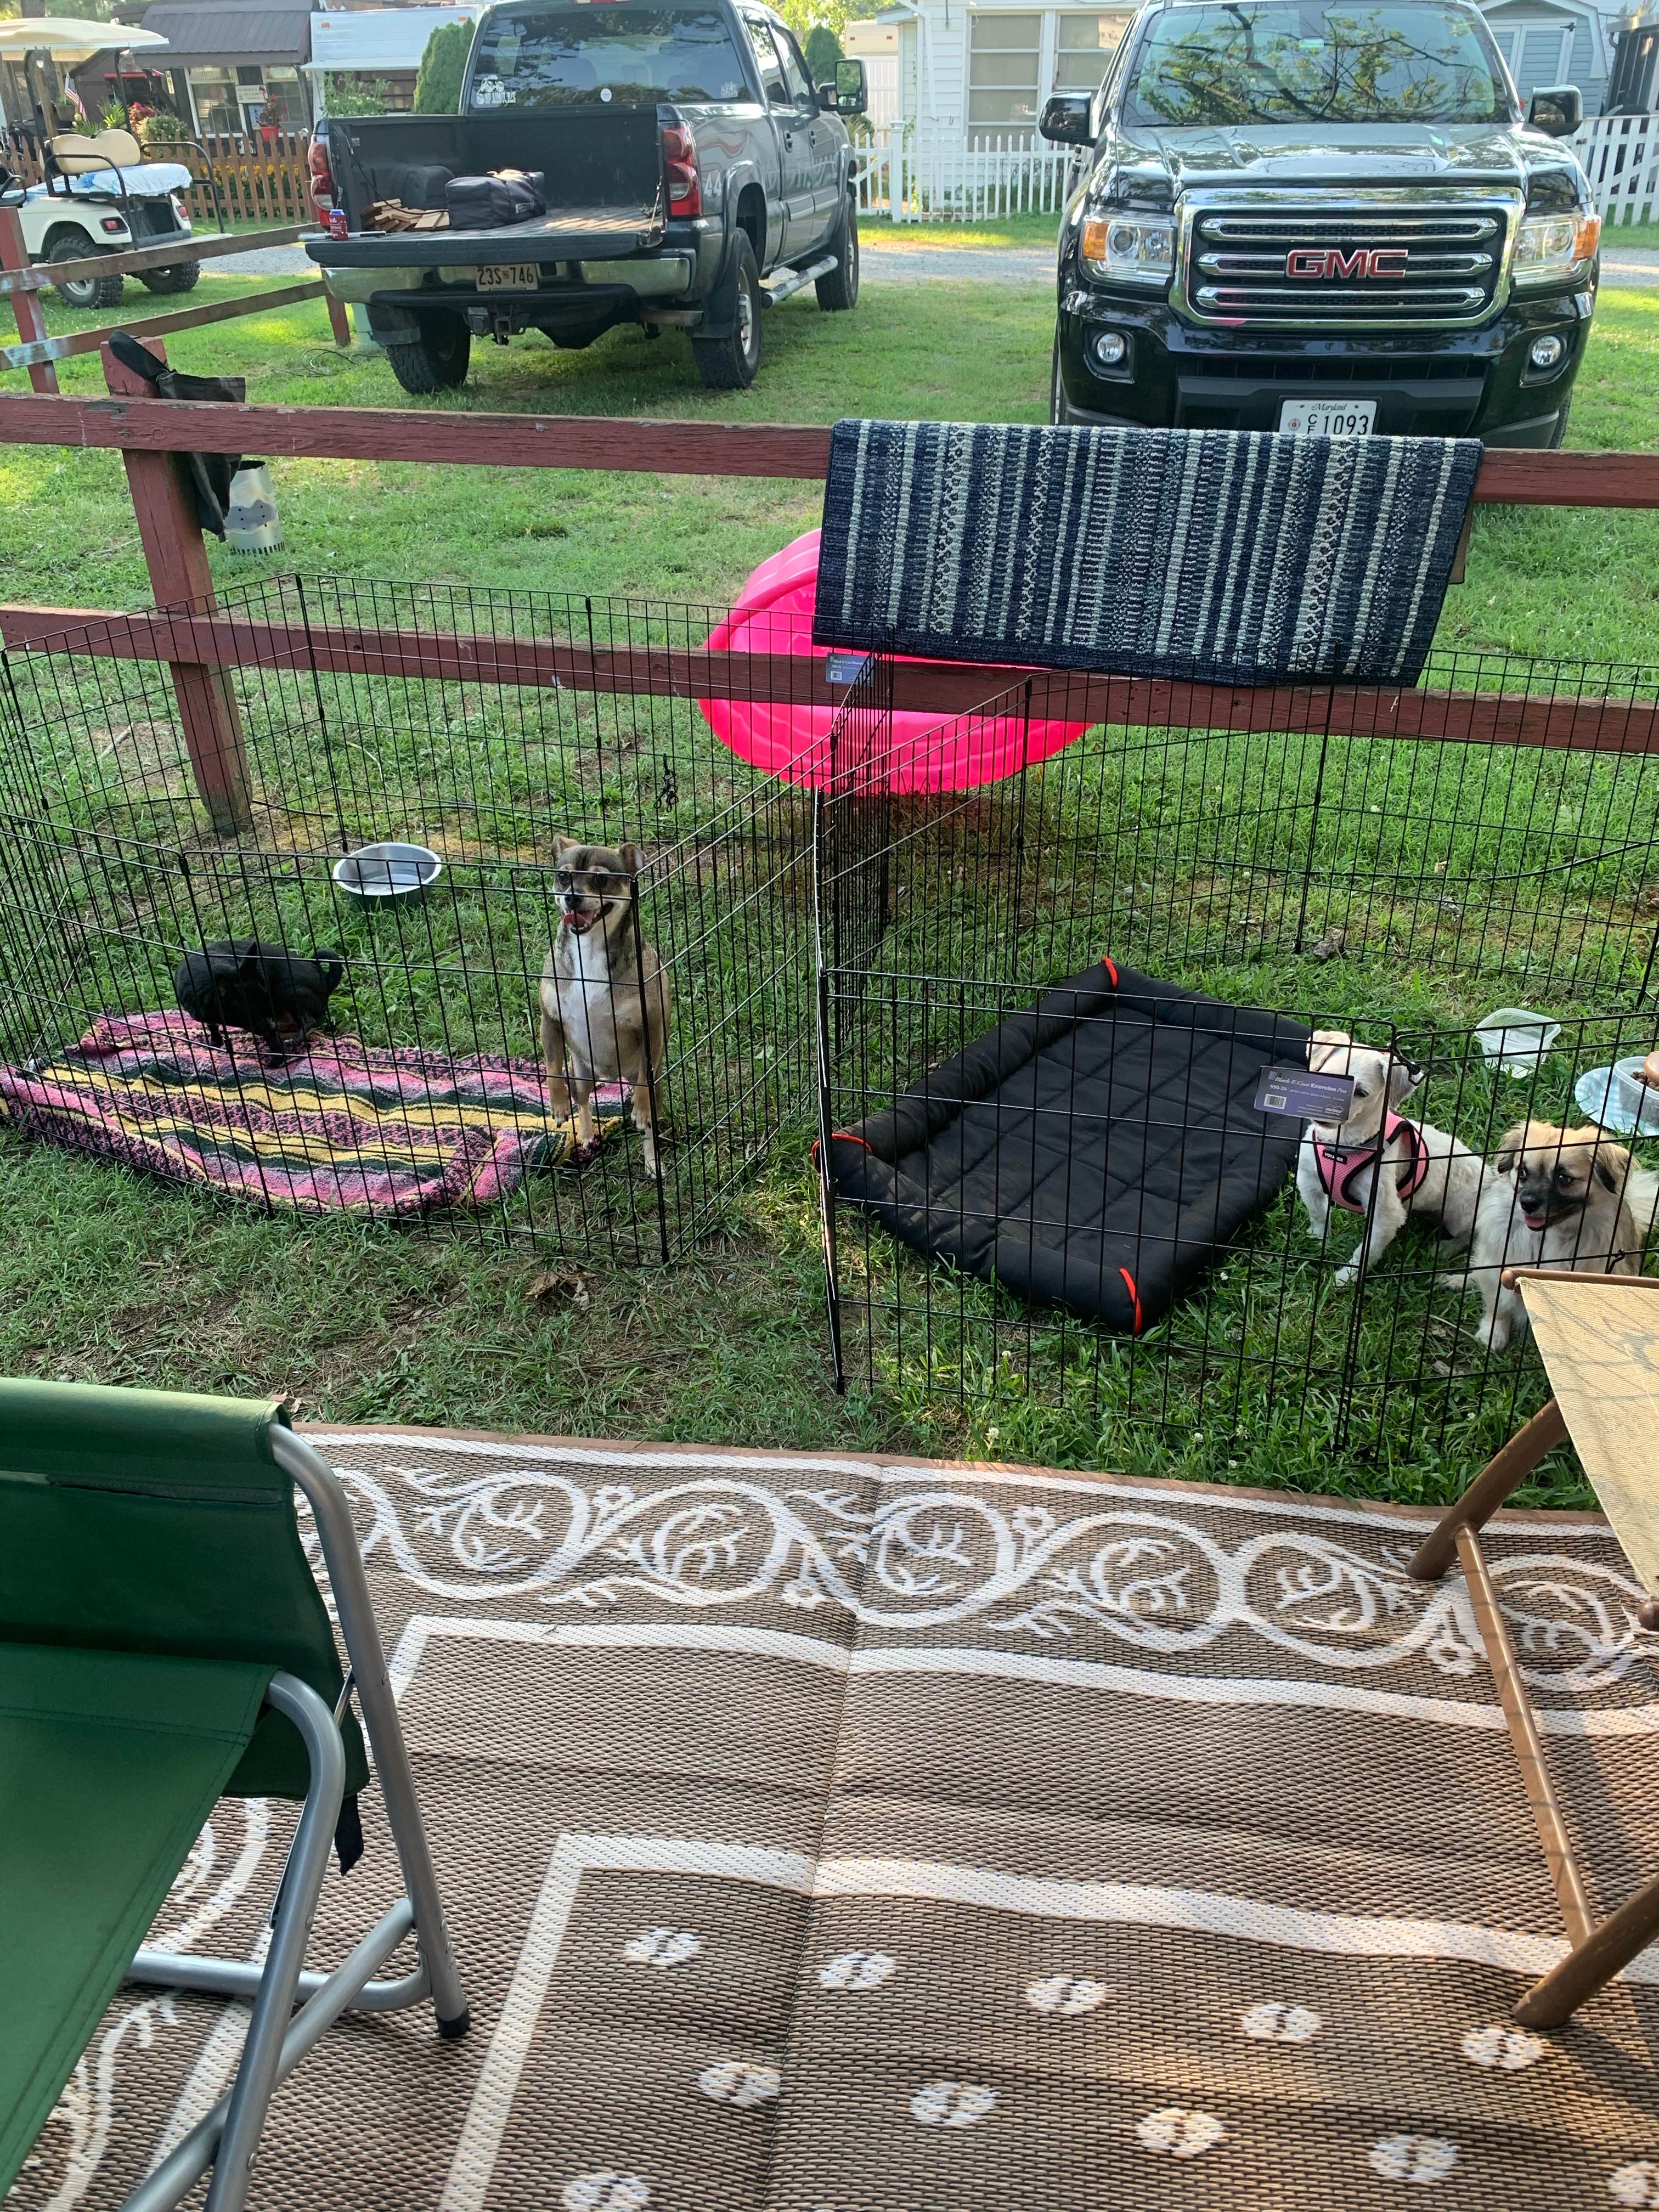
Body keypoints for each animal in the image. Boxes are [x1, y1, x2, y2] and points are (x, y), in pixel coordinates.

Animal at [174, 940, 344, 1052]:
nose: (272, 1024)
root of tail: (326, 980)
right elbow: (213, 1027)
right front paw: (216, 1042)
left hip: (285, 991)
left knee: (308, 1020)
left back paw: (295, 1038)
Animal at [538, 837, 670, 1176]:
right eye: (563, 876)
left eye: (600, 880)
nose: (572, 898)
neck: (589, 951)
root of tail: (613, 1077)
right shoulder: (549, 1020)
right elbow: (552, 1068)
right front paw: (558, 1105)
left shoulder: (652, 1025)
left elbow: (645, 1083)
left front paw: (639, 1109)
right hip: (582, 1075)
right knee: (584, 1100)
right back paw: (586, 1135)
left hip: (653, 1090)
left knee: (648, 1126)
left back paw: (652, 1162)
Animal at [1296, 1029, 1483, 1285]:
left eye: (1361, 1093)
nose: (1323, 1113)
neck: (1341, 1147)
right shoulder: (1308, 1180)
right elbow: (1318, 1213)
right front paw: (1317, 1238)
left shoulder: (1384, 1213)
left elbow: (1367, 1251)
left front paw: (1346, 1278)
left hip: (1461, 1215)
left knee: (1467, 1236)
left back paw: (1444, 1249)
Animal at [1447, 1120, 1659, 1351]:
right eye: (1522, 1173)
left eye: (1563, 1178)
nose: (1527, 1203)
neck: (1547, 1238)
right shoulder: (1497, 1271)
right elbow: (1498, 1306)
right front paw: (1493, 1335)